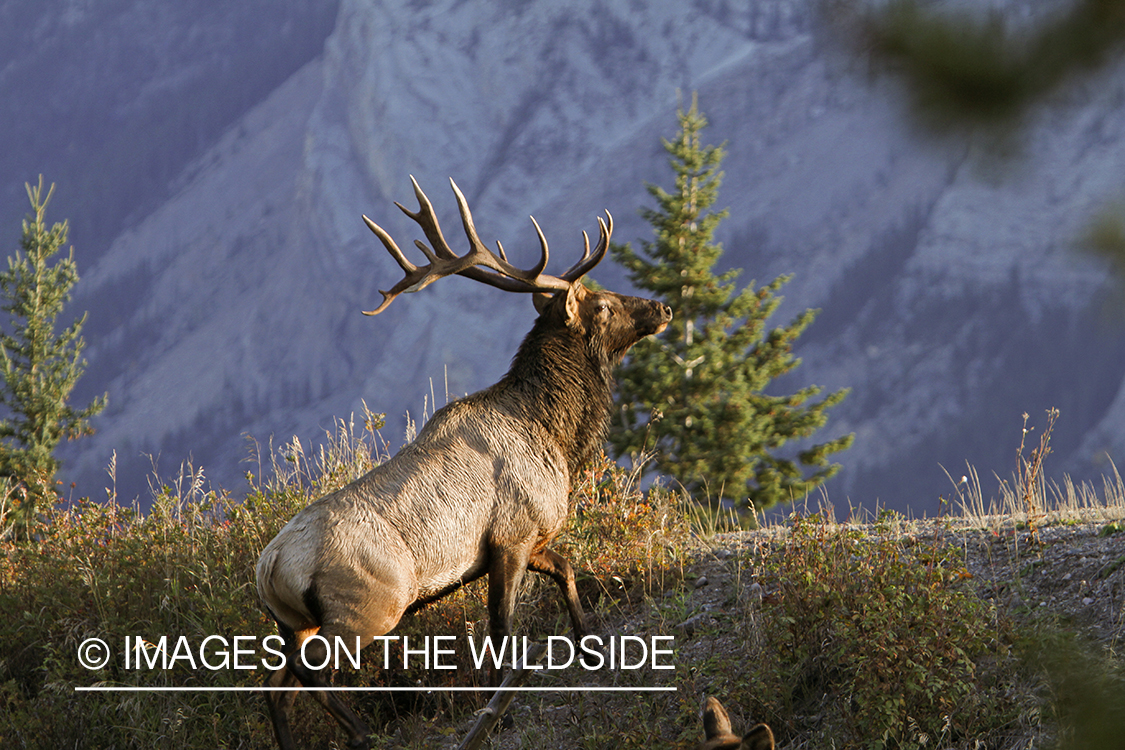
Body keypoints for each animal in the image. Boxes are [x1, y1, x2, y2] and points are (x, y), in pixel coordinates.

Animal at [258, 177, 670, 750]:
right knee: (309, 673)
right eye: (605, 305)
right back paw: (363, 732)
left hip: (294, 621)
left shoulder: (530, 538)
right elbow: (501, 630)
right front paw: (501, 707)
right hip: (367, 606)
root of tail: (269, 568)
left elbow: (567, 570)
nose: (661, 308)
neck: (555, 436)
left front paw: (589, 640)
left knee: (275, 684)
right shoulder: (511, 536)